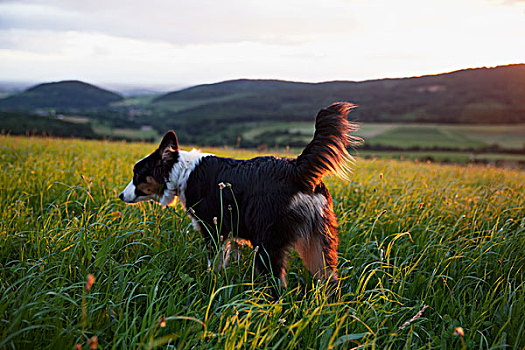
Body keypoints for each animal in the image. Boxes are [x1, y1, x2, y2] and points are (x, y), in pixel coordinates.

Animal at [119, 103, 360, 296]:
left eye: (137, 174)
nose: (121, 195)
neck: (183, 172)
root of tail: (296, 169)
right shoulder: (229, 233)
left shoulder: (214, 229)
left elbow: (214, 262)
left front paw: (211, 284)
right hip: (317, 242)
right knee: (330, 281)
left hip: (267, 245)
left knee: (278, 286)